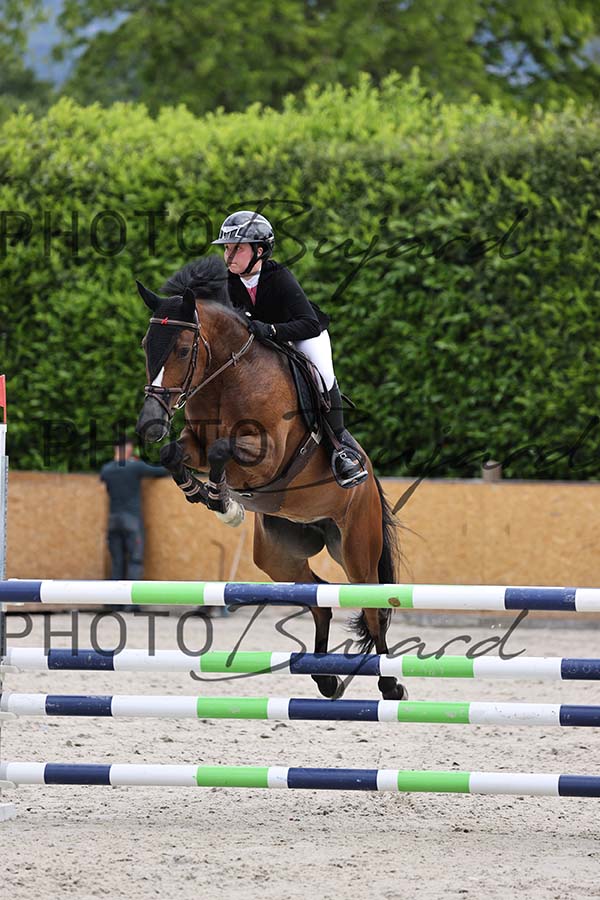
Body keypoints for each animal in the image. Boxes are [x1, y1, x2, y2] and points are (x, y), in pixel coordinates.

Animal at [135, 255, 407, 701]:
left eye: (183, 349)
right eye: (146, 345)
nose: (150, 424)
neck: (228, 377)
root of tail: (369, 480)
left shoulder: (268, 452)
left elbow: (222, 450)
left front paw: (222, 501)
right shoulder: (193, 442)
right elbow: (174, 454)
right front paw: (204, 494)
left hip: (356, 549)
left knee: (371, 607)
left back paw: (390, 685)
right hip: (278, 555)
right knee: (319, 599)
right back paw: (326, 679)